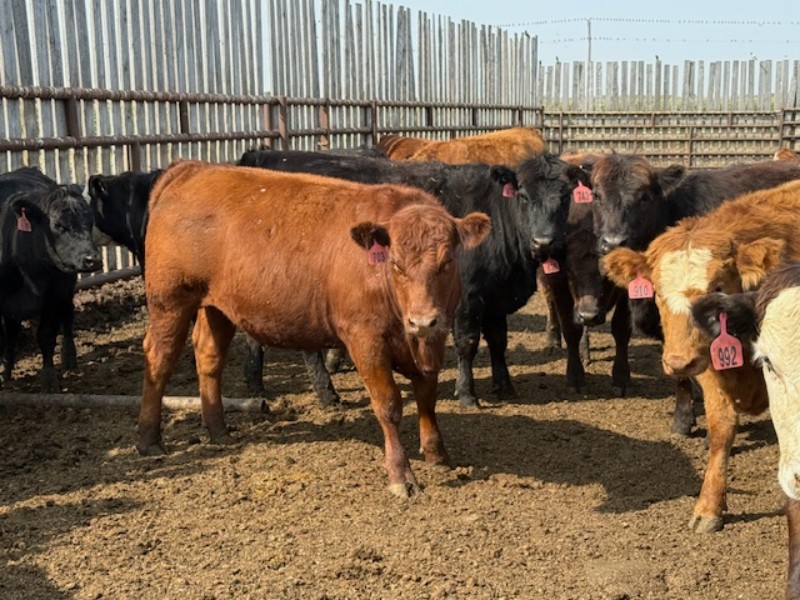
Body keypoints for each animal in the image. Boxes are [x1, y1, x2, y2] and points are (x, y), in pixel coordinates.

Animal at [0, 167, 102, 391]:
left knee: (68, 316)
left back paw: (69, 358)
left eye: (90, 222)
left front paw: (49, 380)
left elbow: (46, 336)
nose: (92, 259)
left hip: (67, 288)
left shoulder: (54, 294)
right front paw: (3, 370)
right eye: (58, 225)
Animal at [140, 159, 491, 497]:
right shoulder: (365, 340)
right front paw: (401, 475)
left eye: (447, 262)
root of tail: (192, 169)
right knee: (159, 358)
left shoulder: (434, 339)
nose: (421, 320)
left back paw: (219, 431)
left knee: (209, 358)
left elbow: (427, 395)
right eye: (395, 264)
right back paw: (150, 439)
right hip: (169, 300)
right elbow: (389, 405)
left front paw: (436, 453)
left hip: (218, 307)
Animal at [239, 147, 543, 407]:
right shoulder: (469, 299)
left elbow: (498, 340)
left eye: (557, 198)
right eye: (524, 196)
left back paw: (256, 385)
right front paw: (467, 394)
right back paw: (326, 395)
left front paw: (504, 386)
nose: (544, 241)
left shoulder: (495, 296)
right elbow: (468, 344)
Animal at [602, 179, 800, 533]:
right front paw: (709, 507)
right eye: (656, 289)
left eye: (717, 287)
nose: (678, 362)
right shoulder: (708, 363)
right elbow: (721, 430)